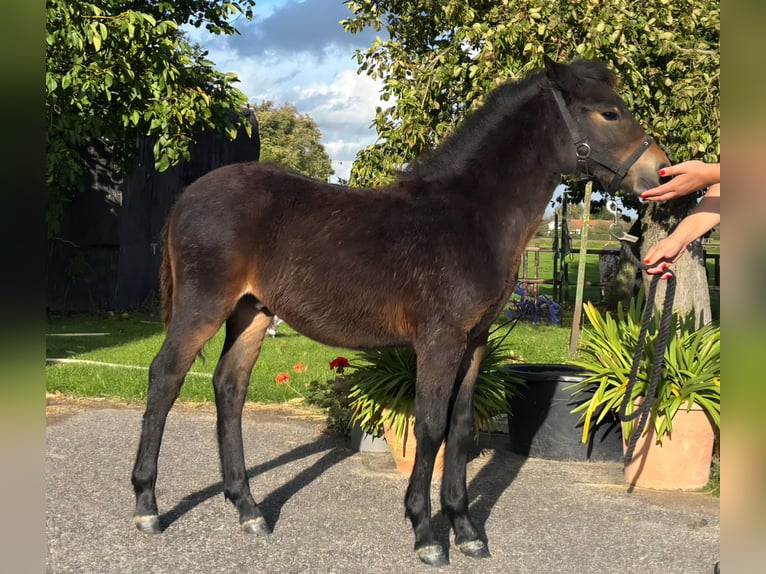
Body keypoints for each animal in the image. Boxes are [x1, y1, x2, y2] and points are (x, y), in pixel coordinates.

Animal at [131, 56, 669, 567]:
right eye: (609, 112)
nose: (660, 172)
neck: (471, 216)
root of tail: (186, 197)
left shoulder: (474, 341)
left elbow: (461, 427)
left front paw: (467, 531)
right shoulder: (439, 340)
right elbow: (429, 426)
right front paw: (426, 535)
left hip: (252, 312)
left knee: (229, 389)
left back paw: (248, 510)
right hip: (203, 306)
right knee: (165, 378)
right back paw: (147, 508)